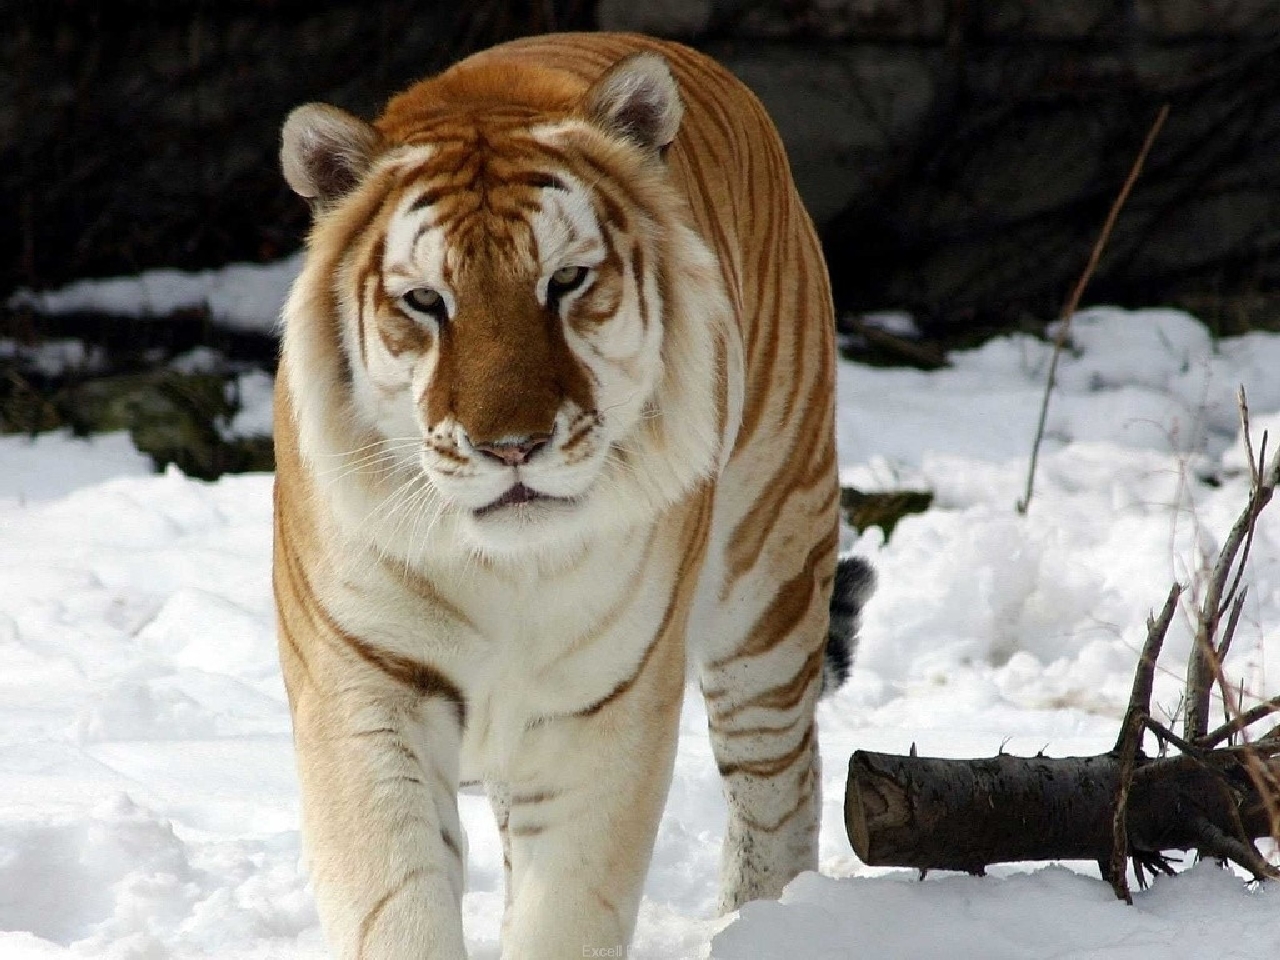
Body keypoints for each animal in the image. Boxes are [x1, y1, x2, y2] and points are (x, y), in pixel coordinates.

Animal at [270, 30, 870, 960]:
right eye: (425, 300)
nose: (512, 446)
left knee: (781, 781)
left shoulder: (606, 703)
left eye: (566, 281)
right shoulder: (364, 686)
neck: (503, 570)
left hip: (769, 576)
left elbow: (569, 907)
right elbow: (398, 900)